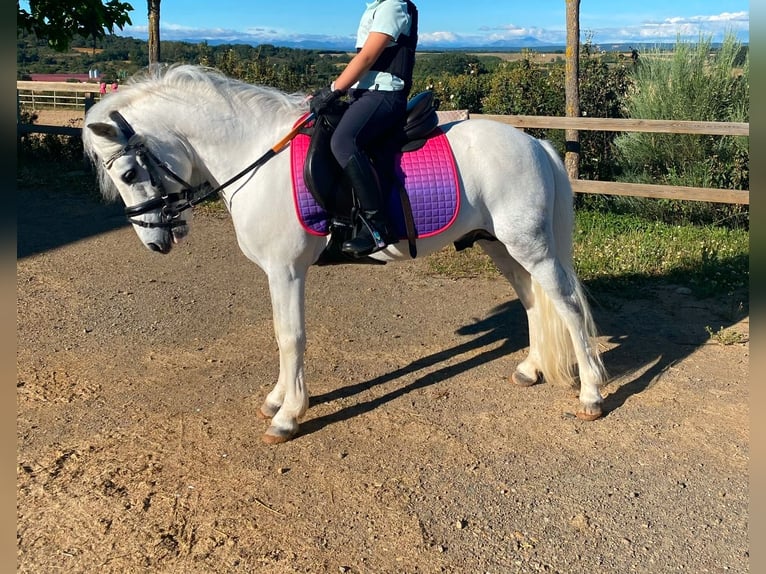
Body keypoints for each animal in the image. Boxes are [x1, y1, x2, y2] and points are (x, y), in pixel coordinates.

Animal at [82, 66, 612, 446]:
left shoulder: (286, 270)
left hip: (530, 246)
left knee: (566, 306)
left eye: (127, 173)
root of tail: (536, 143)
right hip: (500, 244)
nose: (156, 242)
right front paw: (278, 400)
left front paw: (289, 415)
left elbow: (290, 337)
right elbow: (281, 335)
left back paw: (590, 395)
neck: (255, 155)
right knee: (532, 301)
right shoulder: (278, 273)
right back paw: (531, 369)